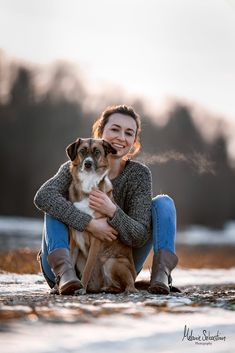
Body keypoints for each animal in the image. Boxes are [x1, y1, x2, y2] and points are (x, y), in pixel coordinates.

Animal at [66, 139, 137, 292]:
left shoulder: (96, 239)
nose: (87, 163)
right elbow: (70, 262)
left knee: (128, 286)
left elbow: (87, 268)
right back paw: (107, 288)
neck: (88, 183)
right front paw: (59, 287)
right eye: (82, 151)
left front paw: (81, 288)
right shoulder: (74, 239)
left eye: (97, 152)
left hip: (111, 262)